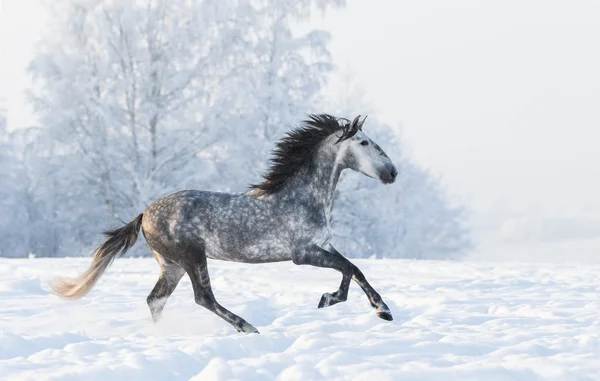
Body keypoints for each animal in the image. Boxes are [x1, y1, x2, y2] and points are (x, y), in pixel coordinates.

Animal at [52, 113, 398, 332]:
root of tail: (145, 214)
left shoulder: (323, 245)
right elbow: (348, 269)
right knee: (203, 297)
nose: (393, 172)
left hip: (172, 266)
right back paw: (248, 327)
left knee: (155, 300)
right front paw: (337, 301)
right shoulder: (302, 253)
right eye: (364, 143)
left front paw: (377, 309)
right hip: (193, 257)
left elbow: (354, 269)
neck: (304, 197)